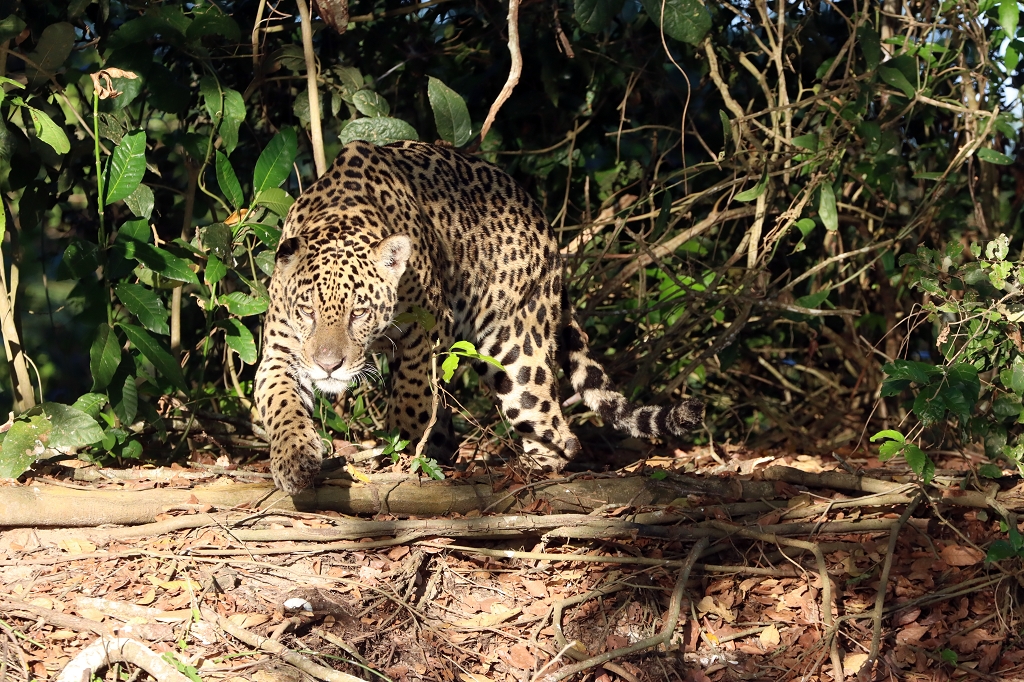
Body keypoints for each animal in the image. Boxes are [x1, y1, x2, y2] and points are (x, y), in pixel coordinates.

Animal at [254, 139, 705, 495]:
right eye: (307, 311)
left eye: (359, 312)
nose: (329, 366)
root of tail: (543, 223)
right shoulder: (280, 351)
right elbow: (281, 402)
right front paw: (294, 460)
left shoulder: (426, 331)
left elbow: (412, 399)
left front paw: (402, 449)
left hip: (517, 353)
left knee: (560, 434)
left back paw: (518, 475)